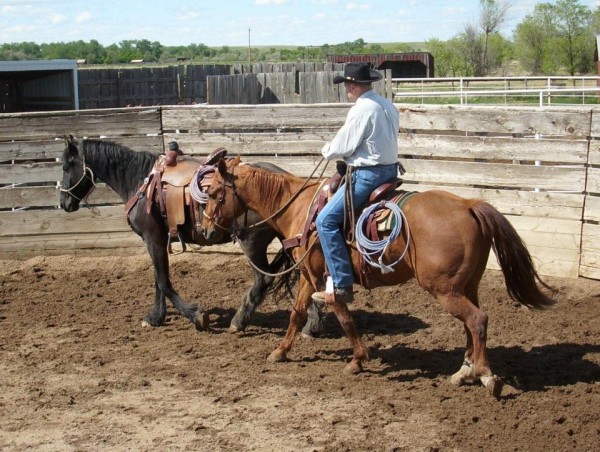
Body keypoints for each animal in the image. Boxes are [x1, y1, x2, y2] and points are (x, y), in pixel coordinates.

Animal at [59, 136, 324, 334]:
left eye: (65, 166)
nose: (63, 203)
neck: (141, 183)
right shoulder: (156, 241)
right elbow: (158, 278)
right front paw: (155, 316)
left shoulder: (152, 239)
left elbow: (163, 281)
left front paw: (196, 316)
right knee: (301, 275)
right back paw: (310, 325)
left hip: (251, 242)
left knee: (264, 280)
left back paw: (239, 321)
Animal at [200, 157, 552, 398]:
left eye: (215, 193)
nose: (205, 231)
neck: (300, 209)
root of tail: (469, 204)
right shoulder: (309, 275)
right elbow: (297, 314)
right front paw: (280, 352)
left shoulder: (325, 277)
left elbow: (342, 315)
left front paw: (358, 359)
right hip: (467, 285)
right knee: (471, 324)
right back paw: (464, 373)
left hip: (444, 289)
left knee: (477, 320)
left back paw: (485, 376)